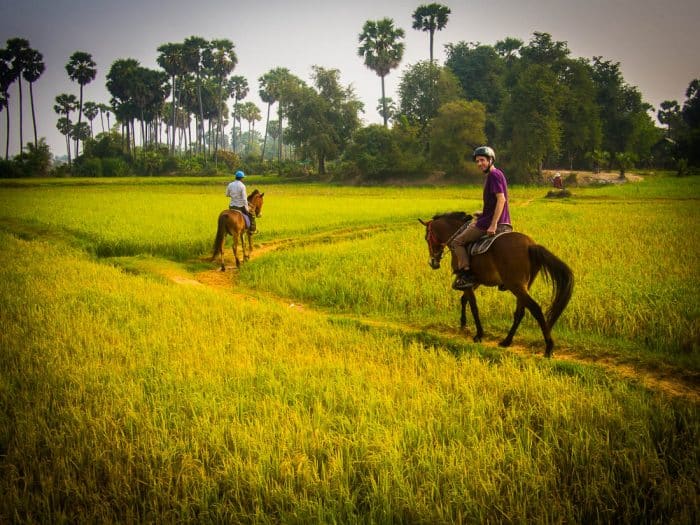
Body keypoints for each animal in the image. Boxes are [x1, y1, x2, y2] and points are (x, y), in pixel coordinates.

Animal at [422, 212, 576, 356]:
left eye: (426, 238)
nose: (432, 262)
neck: (457, 236)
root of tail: (531, 245)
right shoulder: (474, 281)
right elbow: (464, 299)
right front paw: (463, 324)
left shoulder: (467, 281)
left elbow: (473, 306)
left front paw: (479, 334)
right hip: (523, 286)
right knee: (520, 312)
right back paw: (507, 341)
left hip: (515, 285)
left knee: (535, 309)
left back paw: (548, 347)